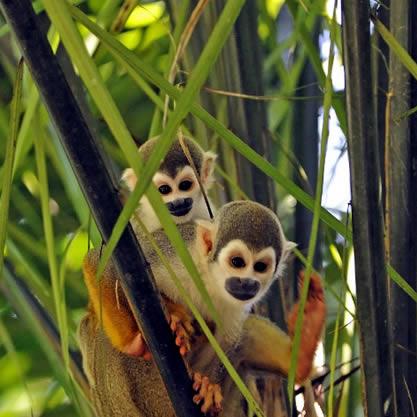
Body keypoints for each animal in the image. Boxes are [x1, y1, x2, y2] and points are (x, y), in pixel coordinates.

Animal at [79, 200, 324, 414]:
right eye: (237, 262)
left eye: (261, 267)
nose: (247, 283)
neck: (210, 278)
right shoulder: (174, 250)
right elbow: (104, 265)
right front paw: (135, 342)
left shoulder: (237, 304)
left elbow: (229, 342)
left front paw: (209, 386)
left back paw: (302, 351)